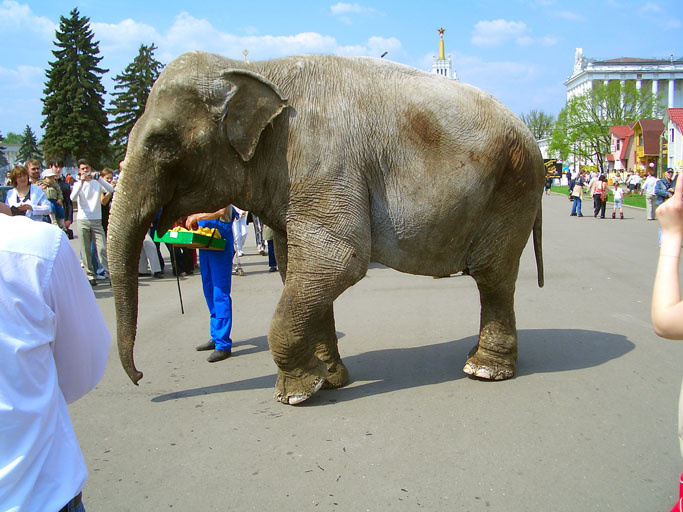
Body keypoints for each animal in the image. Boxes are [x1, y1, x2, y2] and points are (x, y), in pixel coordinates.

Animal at [108, 51, 544, 405]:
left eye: (163, 144)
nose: (140, 377)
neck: (256, 68)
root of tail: (532, 138)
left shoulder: (324, 160)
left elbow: (338, 260)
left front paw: (295, 395)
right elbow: (295, 268)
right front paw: (328, 381)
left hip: (513, 189)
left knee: (492, 274)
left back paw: (483, 370)